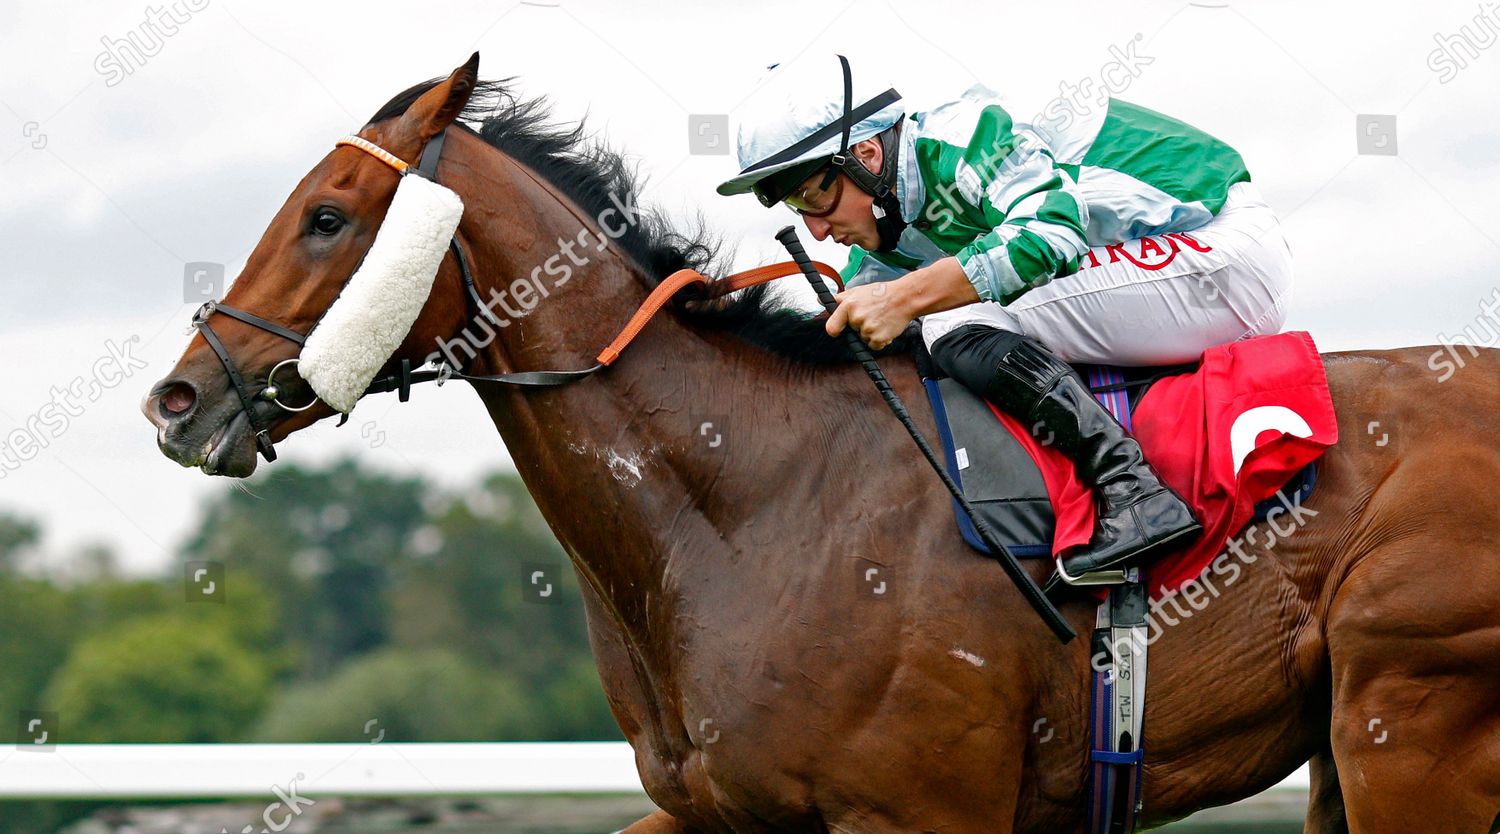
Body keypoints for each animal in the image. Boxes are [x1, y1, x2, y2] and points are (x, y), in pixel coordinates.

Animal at [143, 55, 1500, 828]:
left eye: (328, 216)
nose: (178, 401)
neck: (744, 504)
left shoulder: (920, 812)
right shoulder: (721, 812)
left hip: (1411, 722)